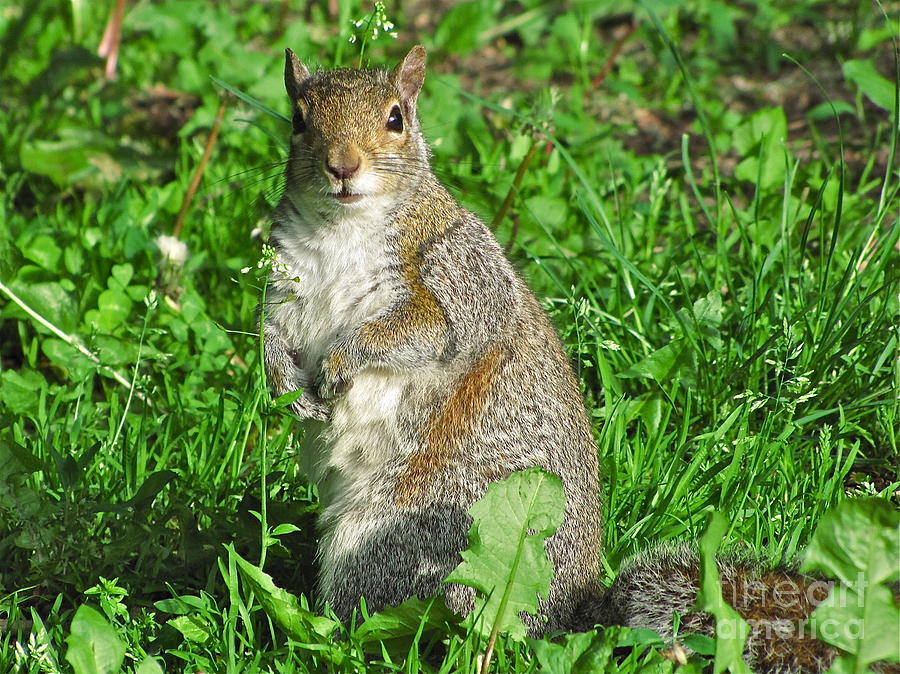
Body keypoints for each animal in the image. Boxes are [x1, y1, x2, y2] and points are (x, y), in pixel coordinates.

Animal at [258, 44, 880, 668]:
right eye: (298, 119)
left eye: (395, 119)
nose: (342, 166)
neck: (344, 228)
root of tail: (562, 616)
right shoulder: (285, 285)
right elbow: (270, 335)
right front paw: (286, 385)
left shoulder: (458, 279)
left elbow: (420, 333)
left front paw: (340, 362)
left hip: (407, 540)